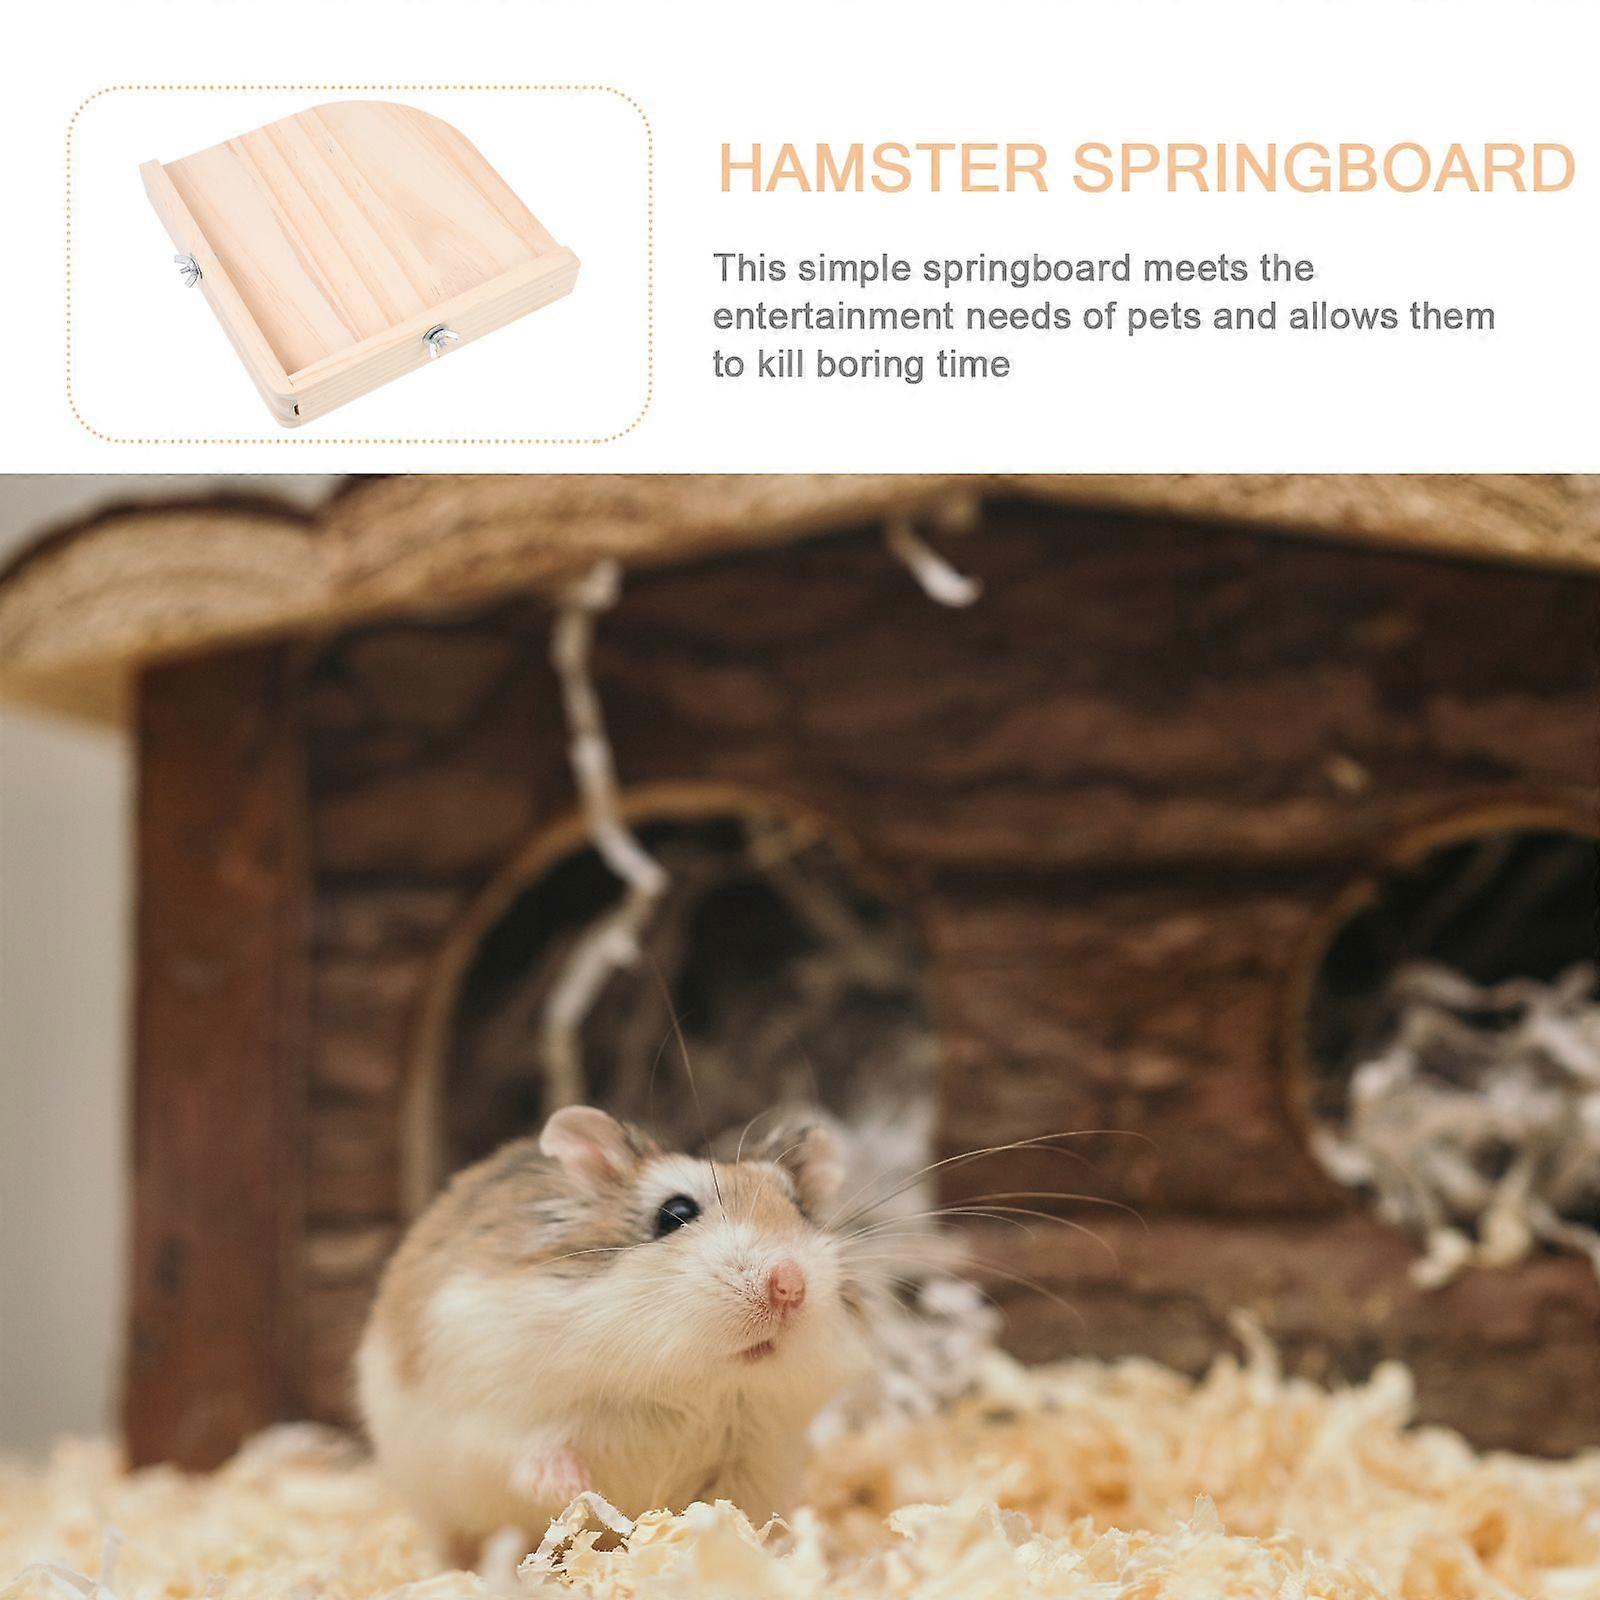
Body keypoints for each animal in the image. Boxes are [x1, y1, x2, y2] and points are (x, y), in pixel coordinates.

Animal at [356, 1105, 872, 1563]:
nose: (790, 1285)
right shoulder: (493, 1414)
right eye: (674, 1212)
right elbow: (532, 1455)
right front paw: (580, 1491)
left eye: (801, 1210)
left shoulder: (756, 1456)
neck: (692, 1385)